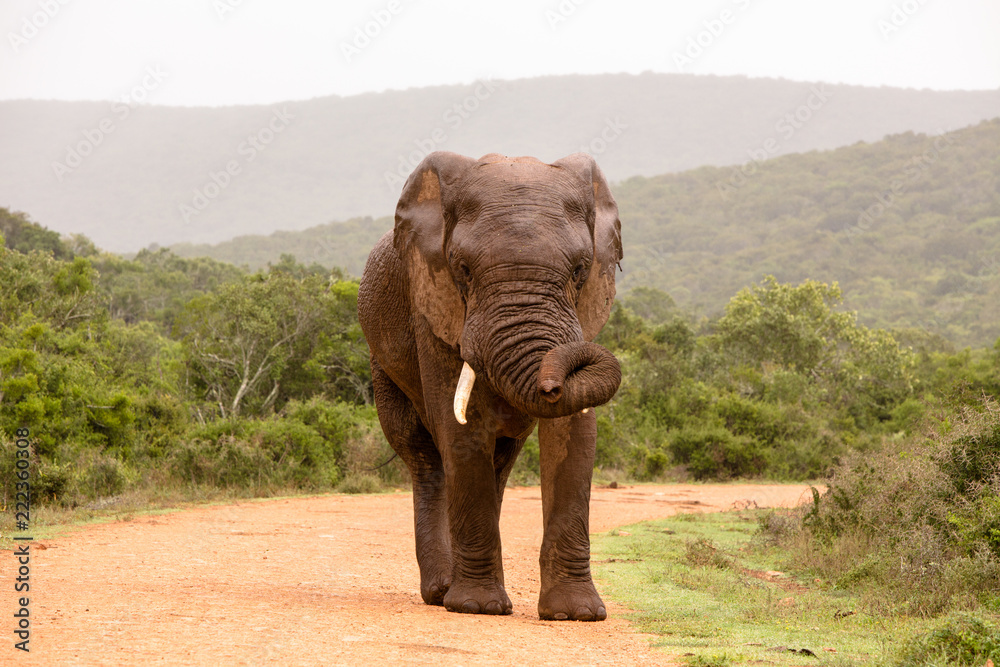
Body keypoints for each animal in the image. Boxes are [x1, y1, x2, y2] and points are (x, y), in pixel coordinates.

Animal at [357, 151, 623, 621]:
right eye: (463, 269)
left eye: (579, 270)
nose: (551, 385)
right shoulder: (434, 304)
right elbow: (462, 427)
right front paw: (477, 607)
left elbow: (574, 432)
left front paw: (576, 615)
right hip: (381, 364)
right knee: (424, 455)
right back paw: (441, 591)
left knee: (501, 458)